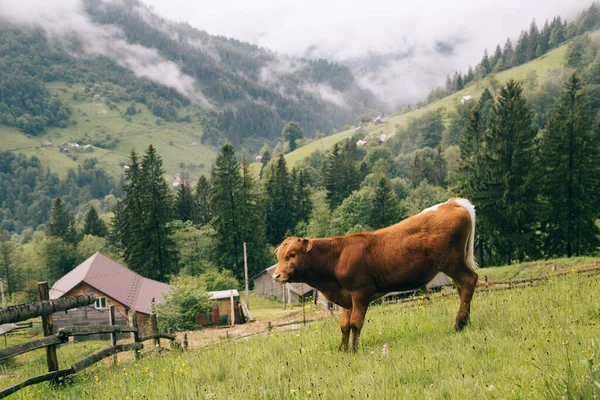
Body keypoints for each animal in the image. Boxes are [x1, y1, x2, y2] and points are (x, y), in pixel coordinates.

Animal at [276, 198, 478, 352]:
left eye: (292, 254)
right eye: (278, 255)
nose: (277, 275)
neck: (337, 257)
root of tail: (452, 203)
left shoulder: (360, 292)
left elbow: (355, 323)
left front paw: (354, 349)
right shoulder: (347, 296)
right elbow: (344, 325)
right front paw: (342, 350)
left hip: (451, 262)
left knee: (469, 281)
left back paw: (459, 324)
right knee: (461, 287)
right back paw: (465, 321)